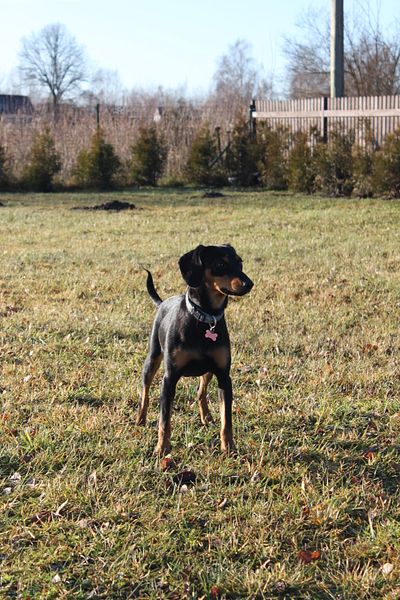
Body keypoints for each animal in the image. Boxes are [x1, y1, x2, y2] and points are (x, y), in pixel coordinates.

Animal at [137, 244, 253, 455]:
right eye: (220, 264)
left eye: (240, 262)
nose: (249, 283)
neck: (205, 318)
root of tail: (163, 302)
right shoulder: (169, 378)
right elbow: (164, 420)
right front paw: (162, 449)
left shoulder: (224, 376)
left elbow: (227, 420)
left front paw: (229, 448)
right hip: (152, 358)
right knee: (145, 392)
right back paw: (140, 419)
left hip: (208, 370)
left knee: (200, 391)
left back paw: (206, 417)